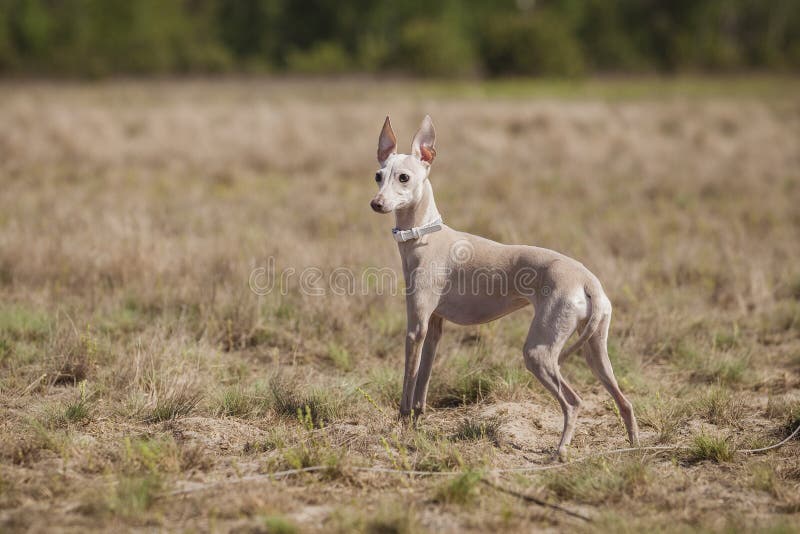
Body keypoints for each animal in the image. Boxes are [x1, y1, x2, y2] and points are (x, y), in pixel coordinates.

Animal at [368, 115, 636, 458]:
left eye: (403, 177)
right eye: (378, 175)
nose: (376, 204)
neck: (425, 234)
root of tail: (589, 281)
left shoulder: (416, 327)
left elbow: (407, 383)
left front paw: (400, 426)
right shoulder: (434, 328)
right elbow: (422, 385)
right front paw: (416, 424)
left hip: (538, 353)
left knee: (574, 402)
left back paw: (560, 451)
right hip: (595, 351)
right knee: (624, 402)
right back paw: (634, 448)